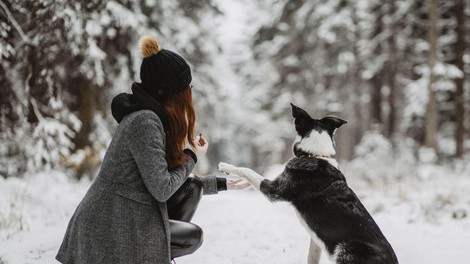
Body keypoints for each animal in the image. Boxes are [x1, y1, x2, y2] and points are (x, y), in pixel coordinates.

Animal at [218, 103, 398, 264]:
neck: (314, 154)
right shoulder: (316, 241)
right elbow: (311, 258)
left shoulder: (273, 190)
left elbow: (247, 170)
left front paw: (227, 166)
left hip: (345, 249)